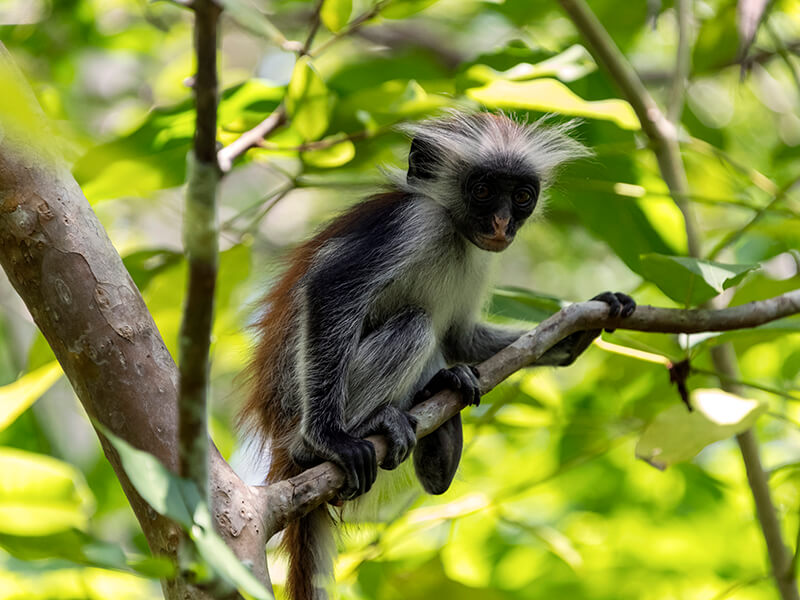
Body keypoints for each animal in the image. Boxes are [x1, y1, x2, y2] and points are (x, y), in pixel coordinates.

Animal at [236, 111, 635, 600]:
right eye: (482, 190)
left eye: (521, 196)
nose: (501, 224)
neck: (454, 230)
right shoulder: (411, 223)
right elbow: (329, 289)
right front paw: (328, 437)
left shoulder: (481, 257)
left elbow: (463, 337)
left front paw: (583, 329)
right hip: (296, 397)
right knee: (414, 325)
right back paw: (328, 440)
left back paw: (440, 422)